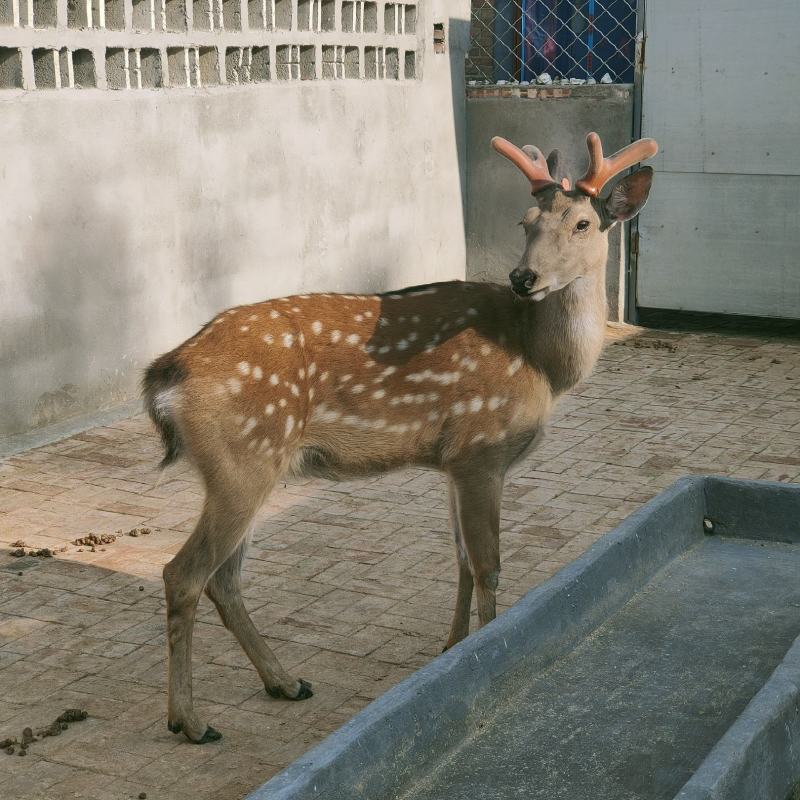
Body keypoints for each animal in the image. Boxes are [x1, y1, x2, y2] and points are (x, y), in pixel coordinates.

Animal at [143, 131, 657, 744]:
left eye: (582, 223)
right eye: (526, 221)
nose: (523, 278)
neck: (543, 363)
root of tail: (168, 374)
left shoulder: (454, 460)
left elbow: (461, 559)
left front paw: (452, 647)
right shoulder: (482, 447)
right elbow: (489, 563)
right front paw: (487, 654)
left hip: (245, 467)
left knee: (224, 578)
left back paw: (285, 682)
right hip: (242, 459)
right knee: (183, 573)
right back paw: (190, 720)